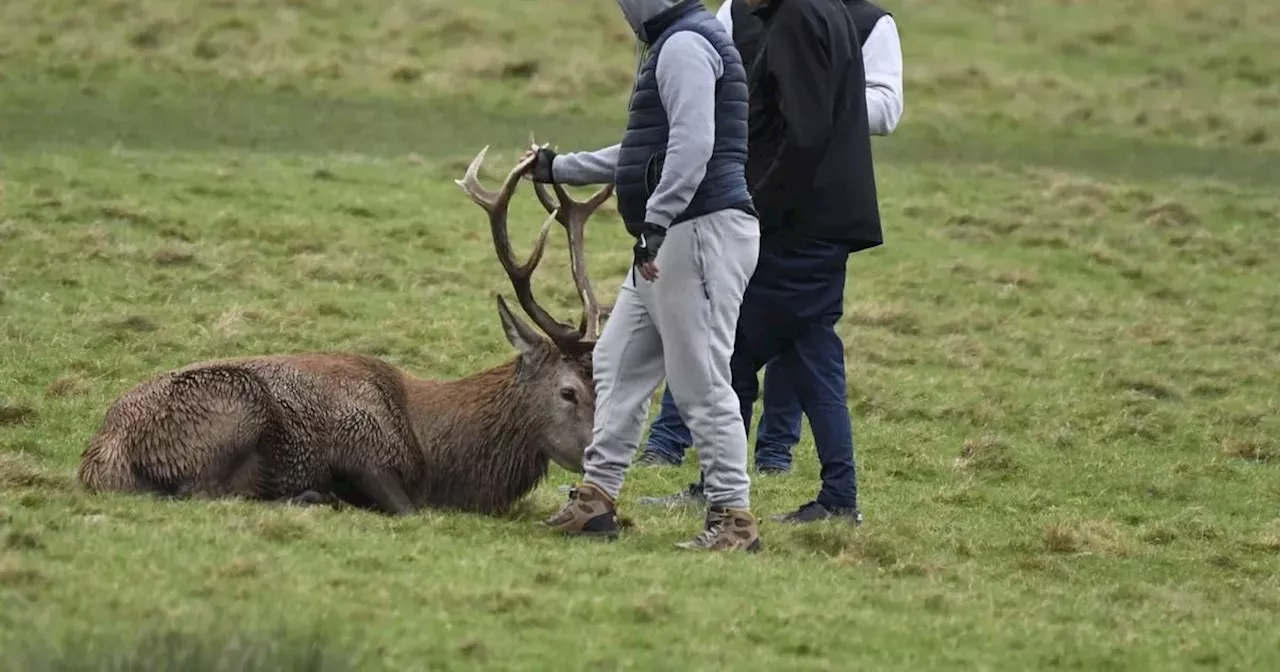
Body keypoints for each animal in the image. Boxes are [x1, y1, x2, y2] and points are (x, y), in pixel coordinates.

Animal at [76, 146, 614, 514]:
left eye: (601, 385)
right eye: (568, 391)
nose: (595, 457)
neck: (440, 454)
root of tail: (100, 457)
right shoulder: (363, 449)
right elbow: (410, 508)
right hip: (232, 406)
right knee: (205, 493)